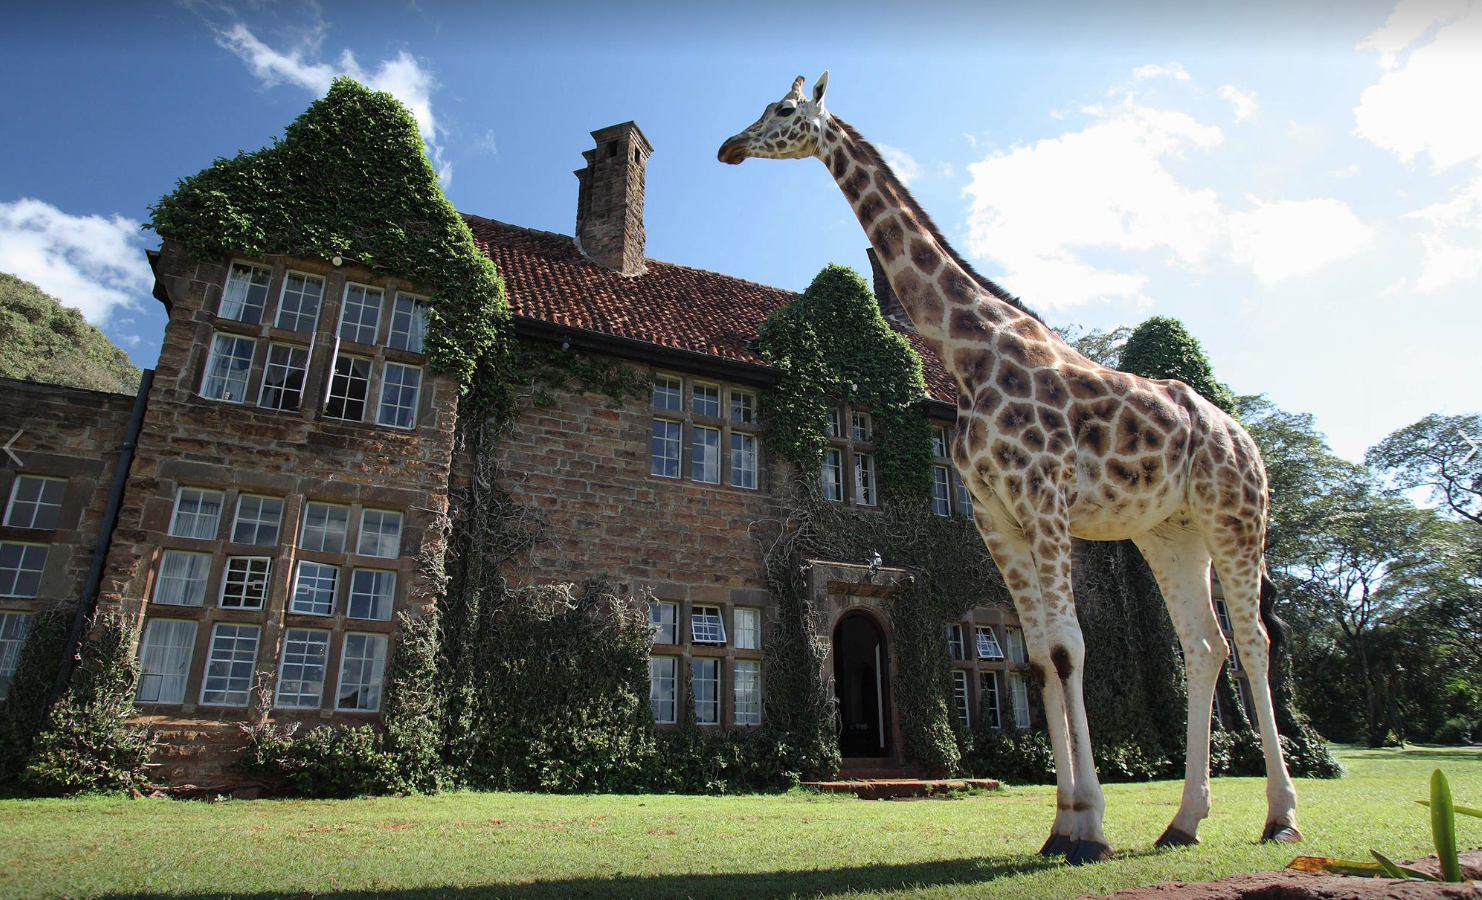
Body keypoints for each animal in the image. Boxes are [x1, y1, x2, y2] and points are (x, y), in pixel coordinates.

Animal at [719, 74, 1301, 864]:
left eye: (783, 111)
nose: (729, 147)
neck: (968, 351)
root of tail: (1247, 436)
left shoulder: (1046, 500)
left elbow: (1065, 647)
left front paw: (1091, 829)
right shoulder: (997, 517)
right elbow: (1037, 658)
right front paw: (1064, 824)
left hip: (1237, 519)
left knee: (1254, 642)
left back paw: (1281, 816)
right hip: (1168, 532)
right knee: (1204, 646)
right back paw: (1183, 822)